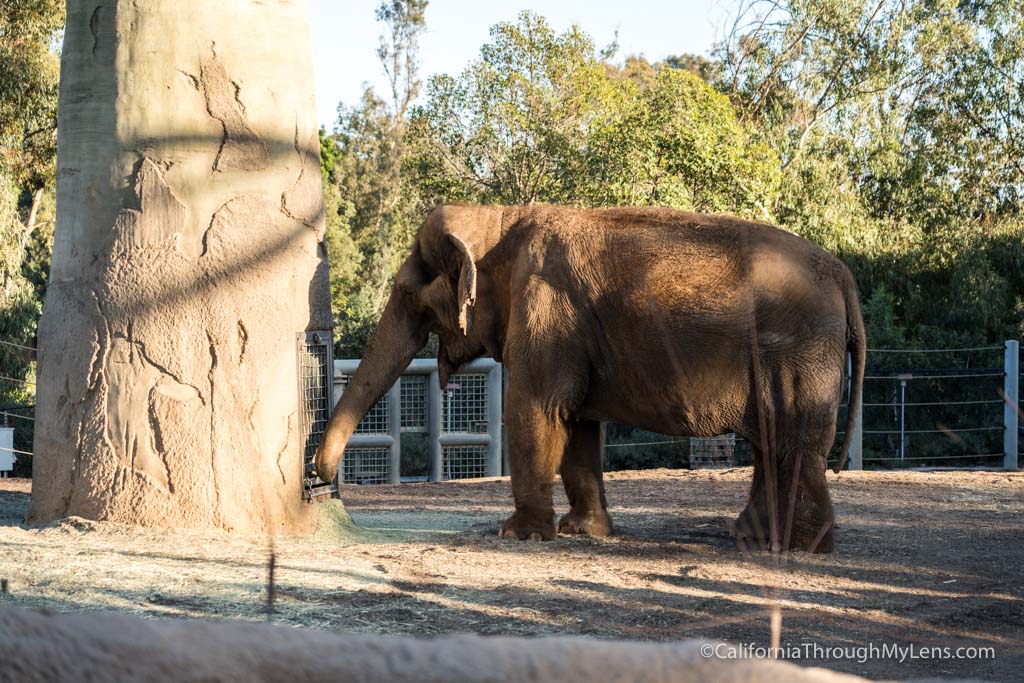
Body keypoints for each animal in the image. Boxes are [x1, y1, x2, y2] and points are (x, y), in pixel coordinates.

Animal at [313, 200, 864, 552]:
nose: (320, 476)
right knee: (774, 445)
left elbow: (534, 410)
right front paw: (584, 533)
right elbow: (577, 422)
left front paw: (518, 536)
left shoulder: (544, 313)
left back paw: (799, 547)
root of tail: (845, 276)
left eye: (409, 294)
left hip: (795, 354)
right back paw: (753, 538)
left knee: (793, 444)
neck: (498, 216)